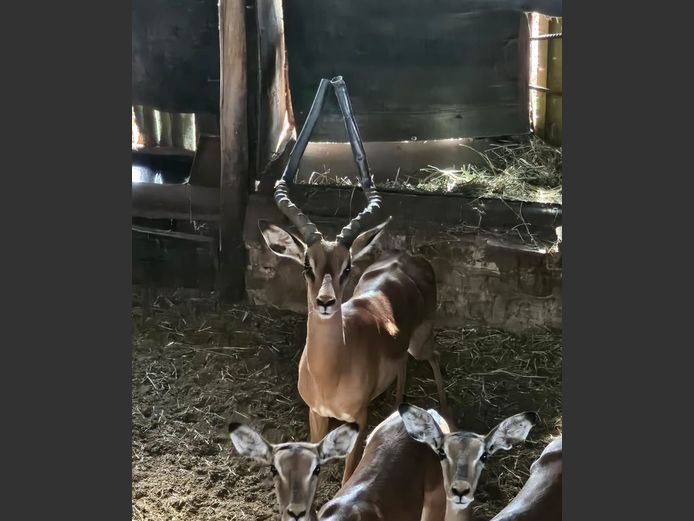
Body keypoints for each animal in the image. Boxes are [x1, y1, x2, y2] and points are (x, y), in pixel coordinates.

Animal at [259, 76, 447, 483]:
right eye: (307, 266)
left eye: (346, 267)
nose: (326, 302)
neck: (331, 372)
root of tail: (410, 257)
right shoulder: (316, 415)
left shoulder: (357, 420)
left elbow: (348, 475)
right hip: (404, 352)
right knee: (403, 370)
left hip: (422, 342)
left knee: (434, 360)